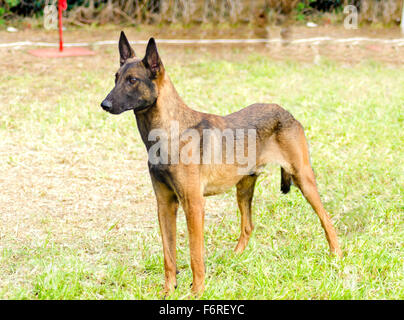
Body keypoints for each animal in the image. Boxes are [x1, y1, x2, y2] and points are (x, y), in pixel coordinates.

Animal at [100, 31, 340, 296]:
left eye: (132, 80)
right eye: (116, 78)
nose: (104, 105)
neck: (168, 132)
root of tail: (285, 111)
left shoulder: (194, 205)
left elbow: (195, 254)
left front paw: (197, 291)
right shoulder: (164, 205)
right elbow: (168, 255)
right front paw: (168, 291)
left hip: (303, 179)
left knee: (326, 219)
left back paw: (336, 256)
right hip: (243, 188)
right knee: (248, 226)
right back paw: (234, 258)